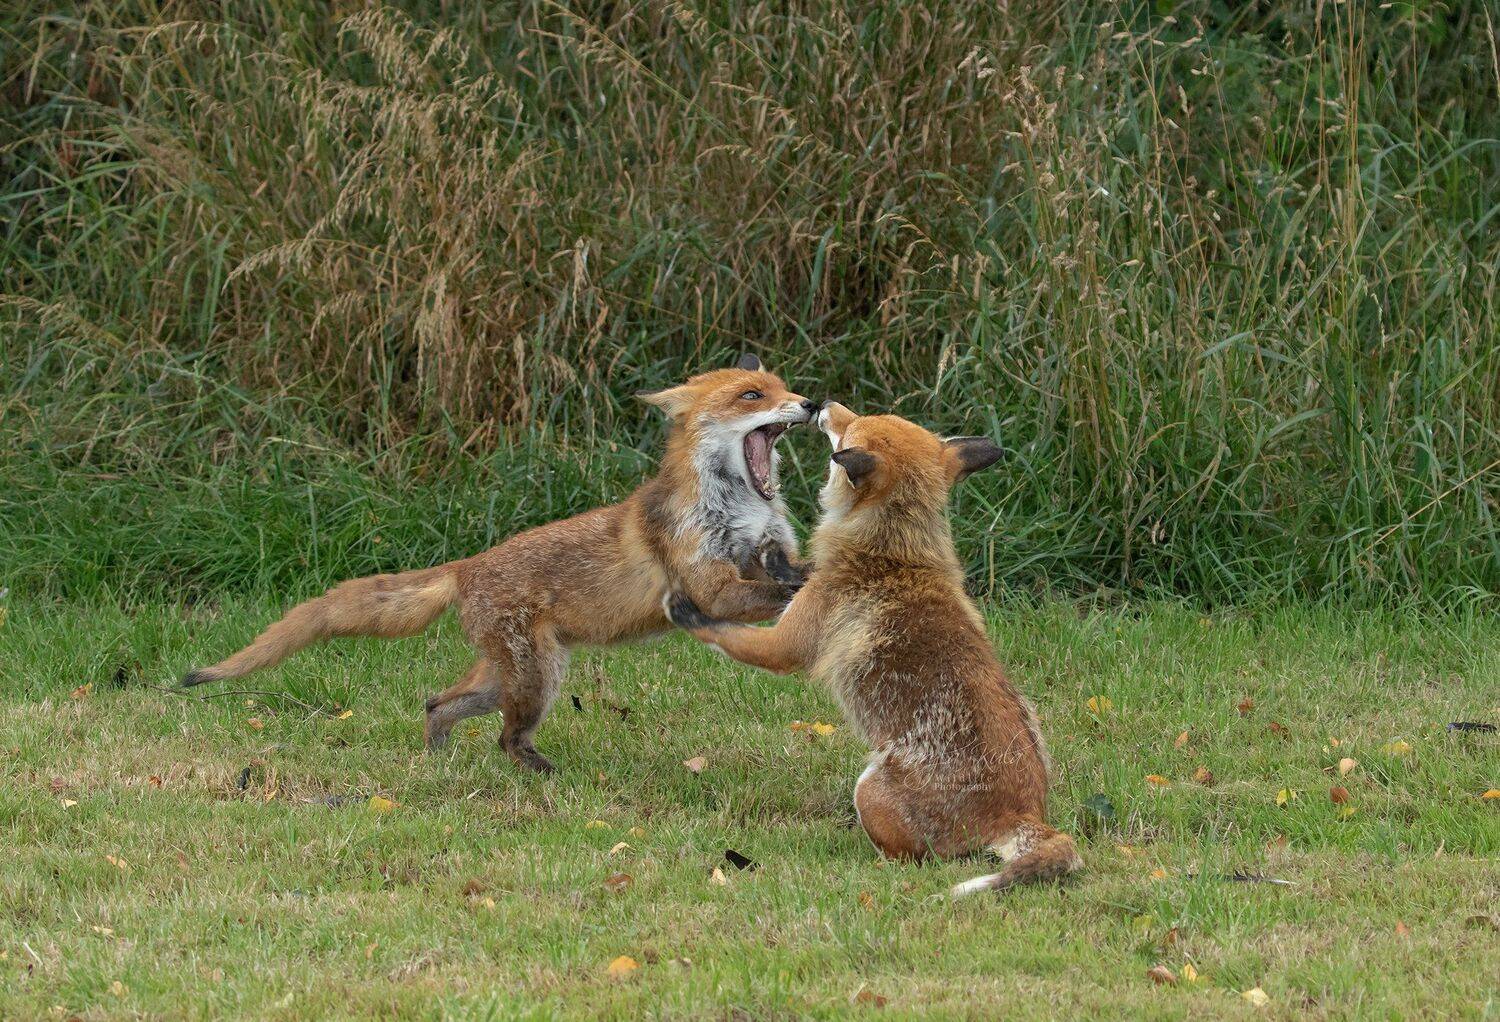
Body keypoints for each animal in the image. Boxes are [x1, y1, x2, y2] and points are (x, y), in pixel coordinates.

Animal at [181, 354, 820, 772]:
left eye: (782, 387)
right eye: (751, 396)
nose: (811, 403)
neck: (741, 505)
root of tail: (466, 566)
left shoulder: (760, 553)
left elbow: (783, 570)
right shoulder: (708, 584)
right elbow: (766, 594)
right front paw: (811, 584)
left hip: (512, 676)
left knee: (437, 703)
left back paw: (437, 762)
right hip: (535, 679)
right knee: (504, 740)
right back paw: (540, 774)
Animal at [665, 401, 1081, 896]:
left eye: (847, 434)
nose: (823, 405)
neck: (894, 553)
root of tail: (1024, 811)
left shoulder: (785, 645)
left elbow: (723, 631)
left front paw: (687, 610)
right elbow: (788, 578)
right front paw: (777, 560)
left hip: (869, 788)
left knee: (915, 860)